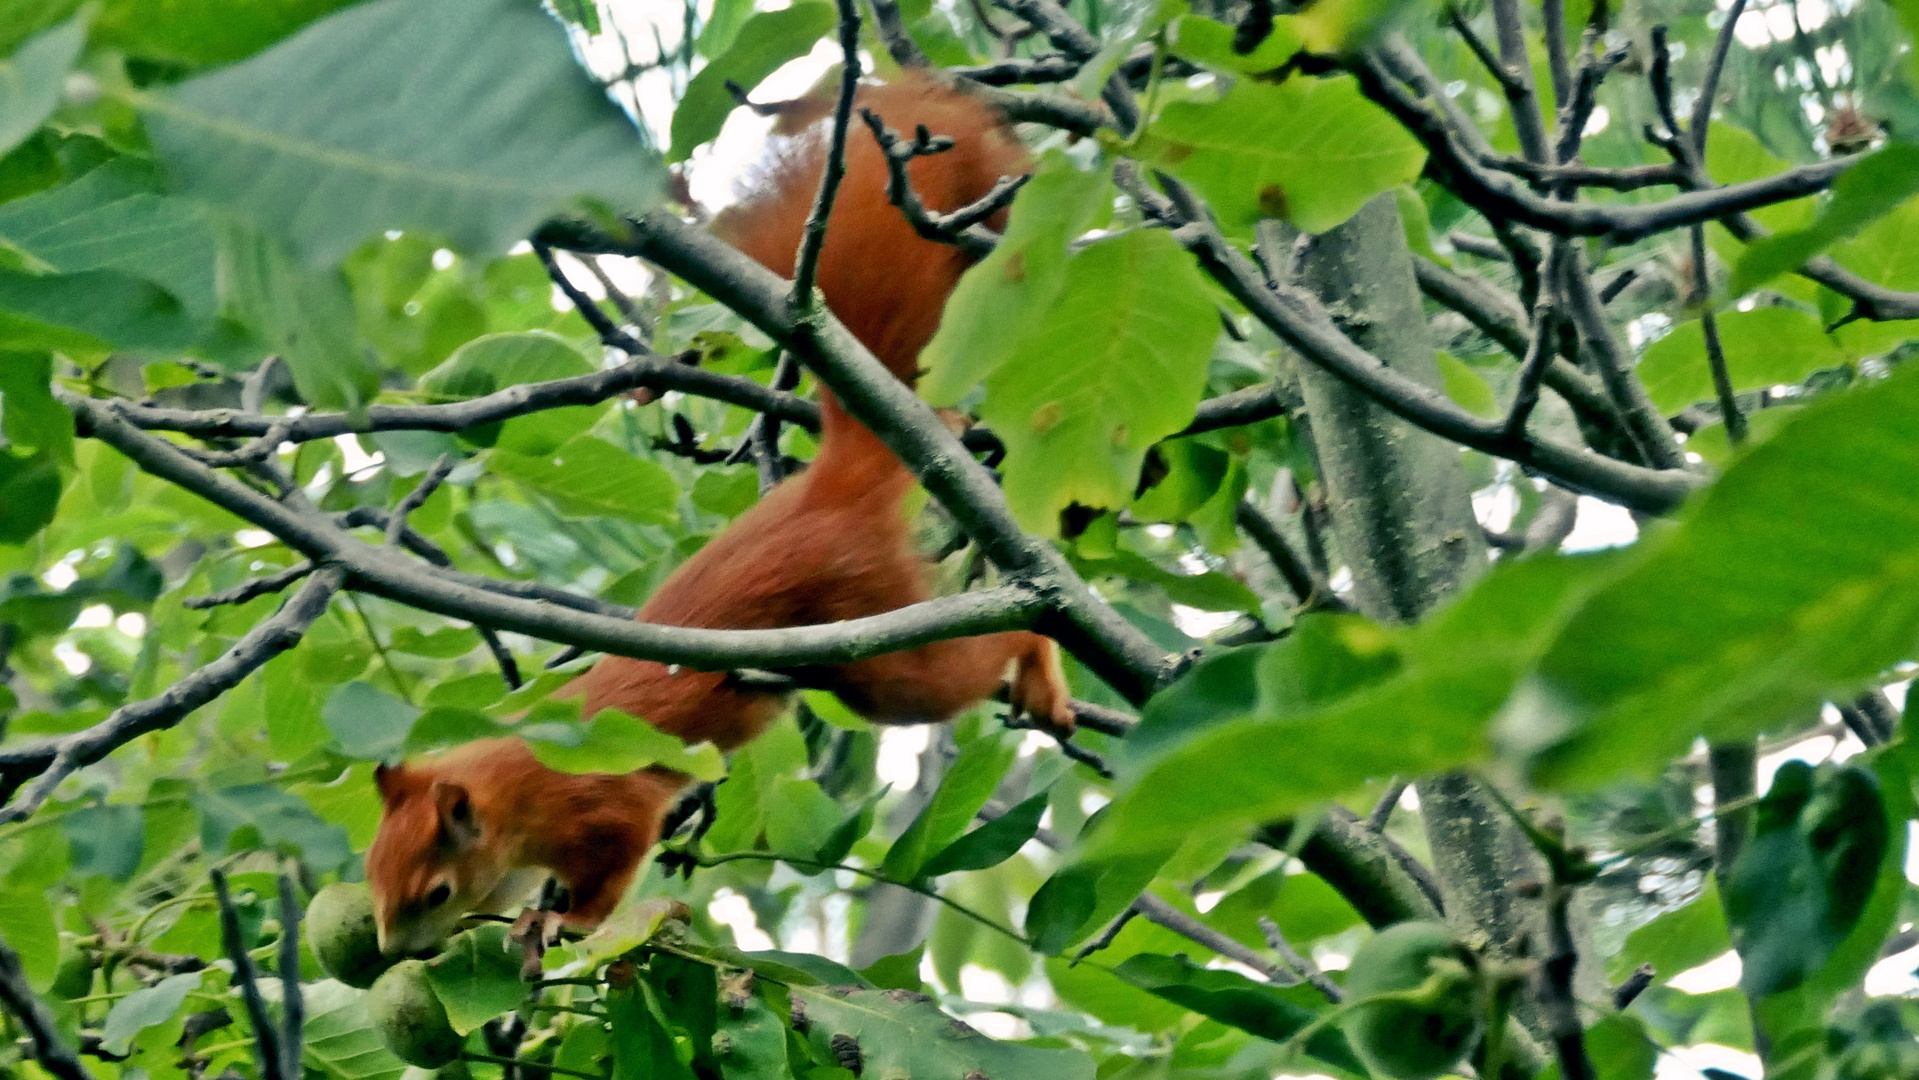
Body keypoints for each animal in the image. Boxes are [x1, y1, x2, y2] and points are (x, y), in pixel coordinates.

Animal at [366, 73, 1074, 955]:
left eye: (433, 890)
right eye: (371, 874)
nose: (389, 953)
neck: (519, 784)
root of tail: (825, 490)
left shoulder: (605, 806)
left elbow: (616, 860)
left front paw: (566, 919)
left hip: (876, 643)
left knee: (969, 660)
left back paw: (1039, 658)